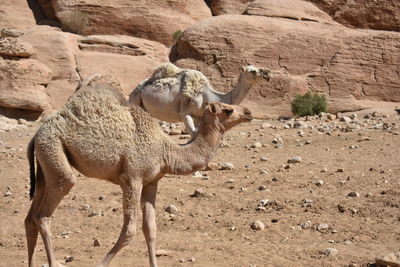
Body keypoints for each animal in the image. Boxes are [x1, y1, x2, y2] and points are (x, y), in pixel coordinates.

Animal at [24, 75, 253, 267]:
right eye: (228, 110)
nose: (248, 112)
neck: (165, 151)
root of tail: (35, 134)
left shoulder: (152, 182)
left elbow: (150, 229)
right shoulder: (131, 178)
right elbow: (129, 231)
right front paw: (101, 264)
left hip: (45, 164)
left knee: (31, 217)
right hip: (54, 152)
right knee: (46, 211)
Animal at [130, 61, 270, 135]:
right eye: (252, 71)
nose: (268, 74)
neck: (207, 95)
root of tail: (136, 88)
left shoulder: (198, 115)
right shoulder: (185, 113)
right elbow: (192, 134)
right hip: (135, 100)